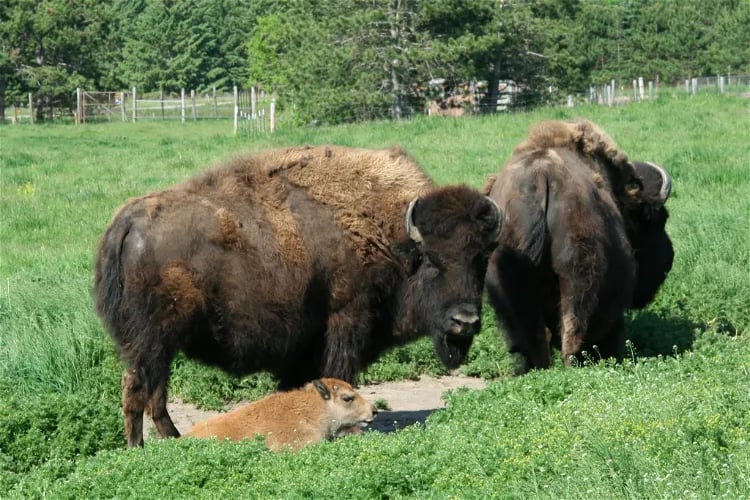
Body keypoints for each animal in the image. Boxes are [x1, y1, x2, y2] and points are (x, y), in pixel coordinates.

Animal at [95, 145, 501, 447]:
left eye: (481, 258)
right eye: (431, 260)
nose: (465, 322)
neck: (389, 236)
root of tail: (127, 222)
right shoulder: (346, 322)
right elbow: (337, 376)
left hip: (160, 344)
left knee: (155, 393)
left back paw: (175, 441)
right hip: (151, 341)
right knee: (137, 390)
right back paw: (138, 449)